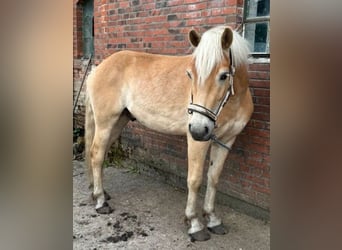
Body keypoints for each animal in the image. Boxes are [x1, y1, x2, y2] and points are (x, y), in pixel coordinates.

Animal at [84, 25, 252, 242]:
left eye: (223, 75)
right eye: (190, 74)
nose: (198, 128)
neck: (234, 101)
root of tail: (98, 68)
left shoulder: (226, 140)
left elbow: (214, 179)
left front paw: (213, 219)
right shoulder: (198, 141)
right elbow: (195, 180)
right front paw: (195, 224)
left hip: (118, 122)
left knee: (99, 155)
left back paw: (100, 193)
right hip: (106, 122)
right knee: (96, 154)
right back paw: (100, 202)